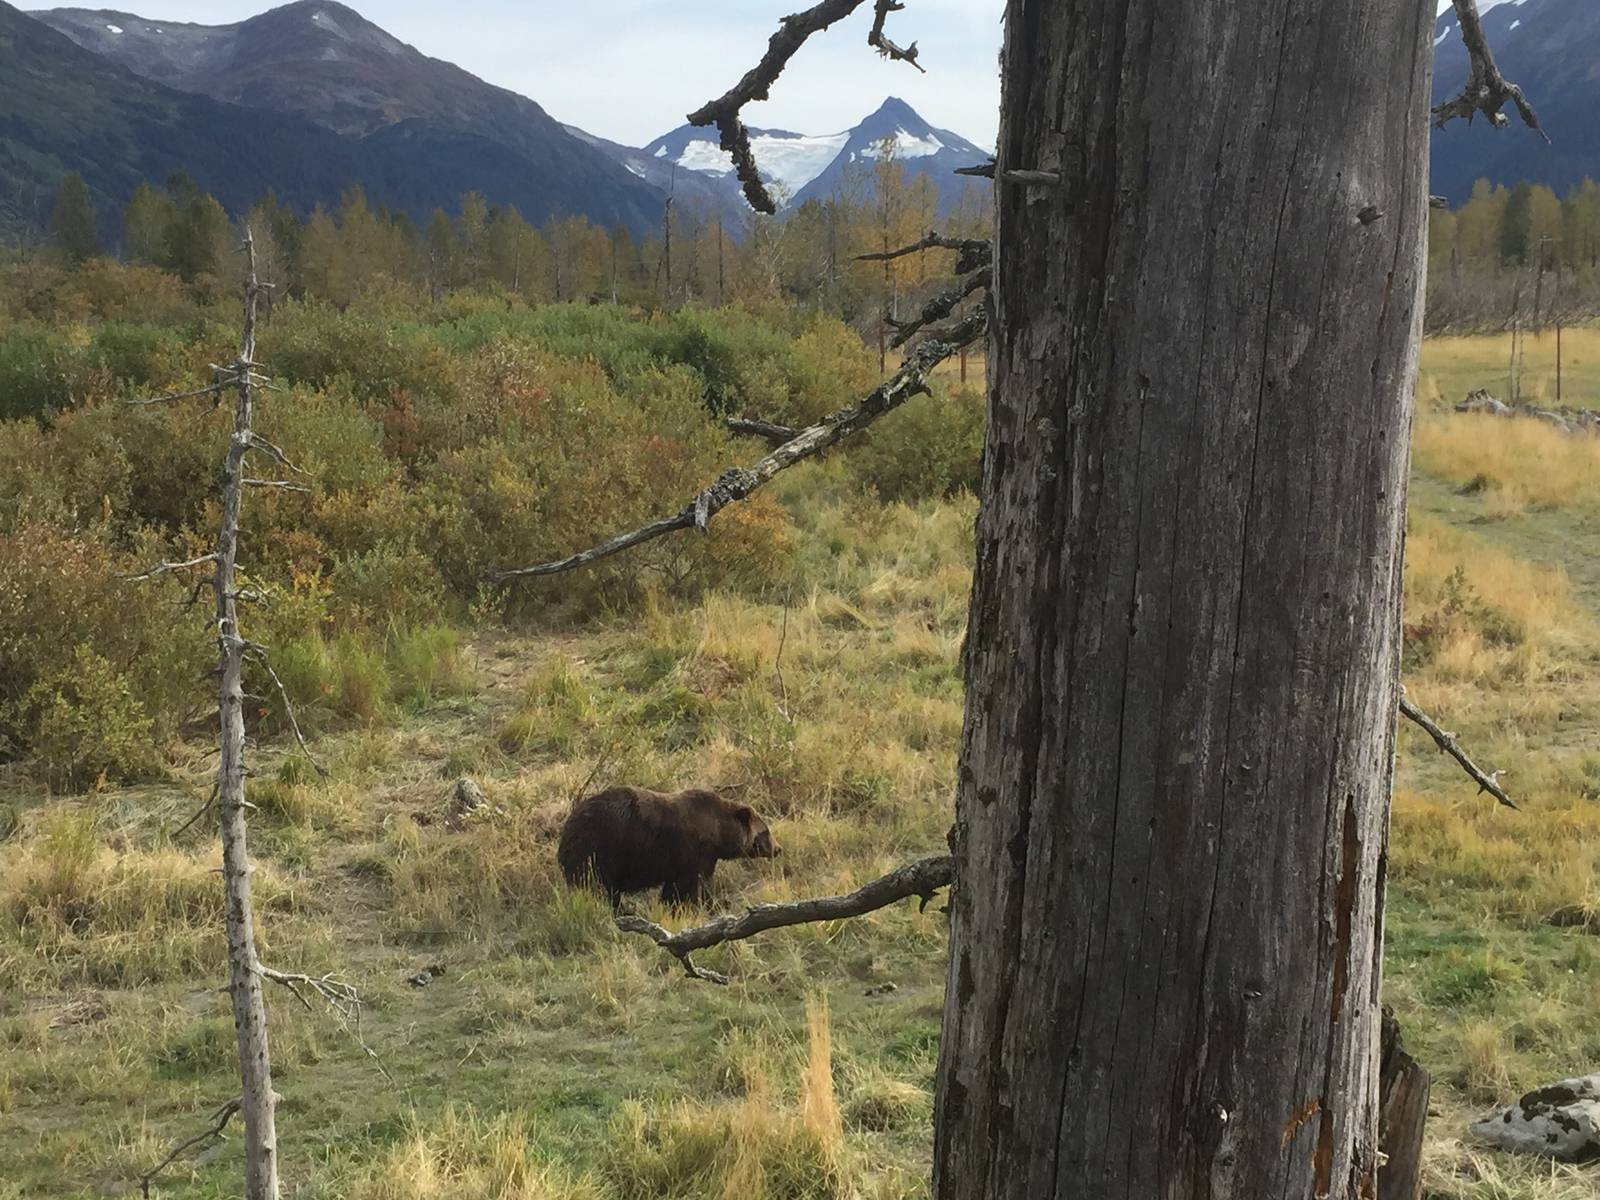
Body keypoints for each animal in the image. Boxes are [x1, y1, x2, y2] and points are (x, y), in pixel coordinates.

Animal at [557, 785, 779, 908]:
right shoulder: (695, 851)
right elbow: (694, 884)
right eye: (766, 831)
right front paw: (713, 903)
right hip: (600, 846)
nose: (778, 849)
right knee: (595, 885)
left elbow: (677, 887)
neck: (718, 831)